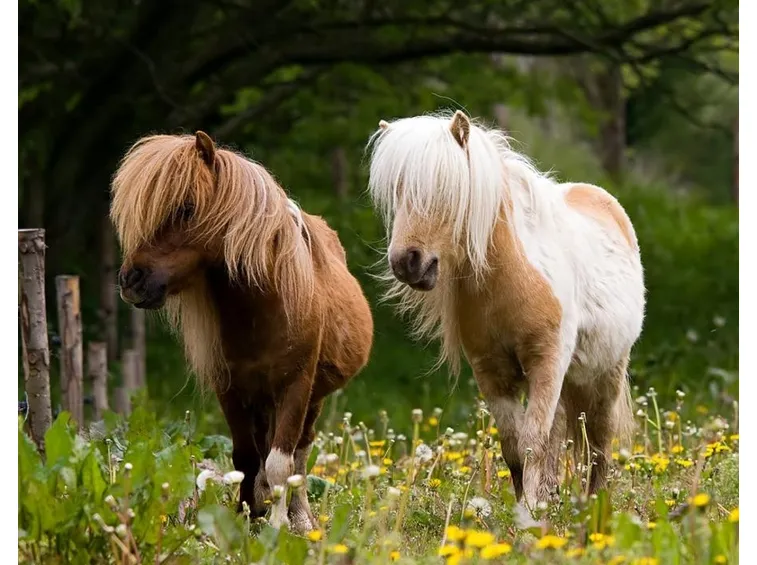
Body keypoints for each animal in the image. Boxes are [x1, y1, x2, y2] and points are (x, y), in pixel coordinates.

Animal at [110, 131, 373, 533]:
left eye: (186, 207)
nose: (131, 281)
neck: (265, 308)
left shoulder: (295, 386)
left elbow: (282, 461)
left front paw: (279, 525)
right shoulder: (230, 388)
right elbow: (246, 458)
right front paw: (246, 515)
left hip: (311, 399)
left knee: (300, 452)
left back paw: (300, 516)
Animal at [366, 111, 644, 511]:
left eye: (446, 188)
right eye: (398, 191)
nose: (407, 262)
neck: (508, 281)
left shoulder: (547, 363)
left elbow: (533, 443)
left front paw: (529, 514)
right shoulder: (492, 373)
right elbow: (514, 447)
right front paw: (525, 508)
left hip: (606, 373)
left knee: (598, 445)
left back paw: (593, 505)